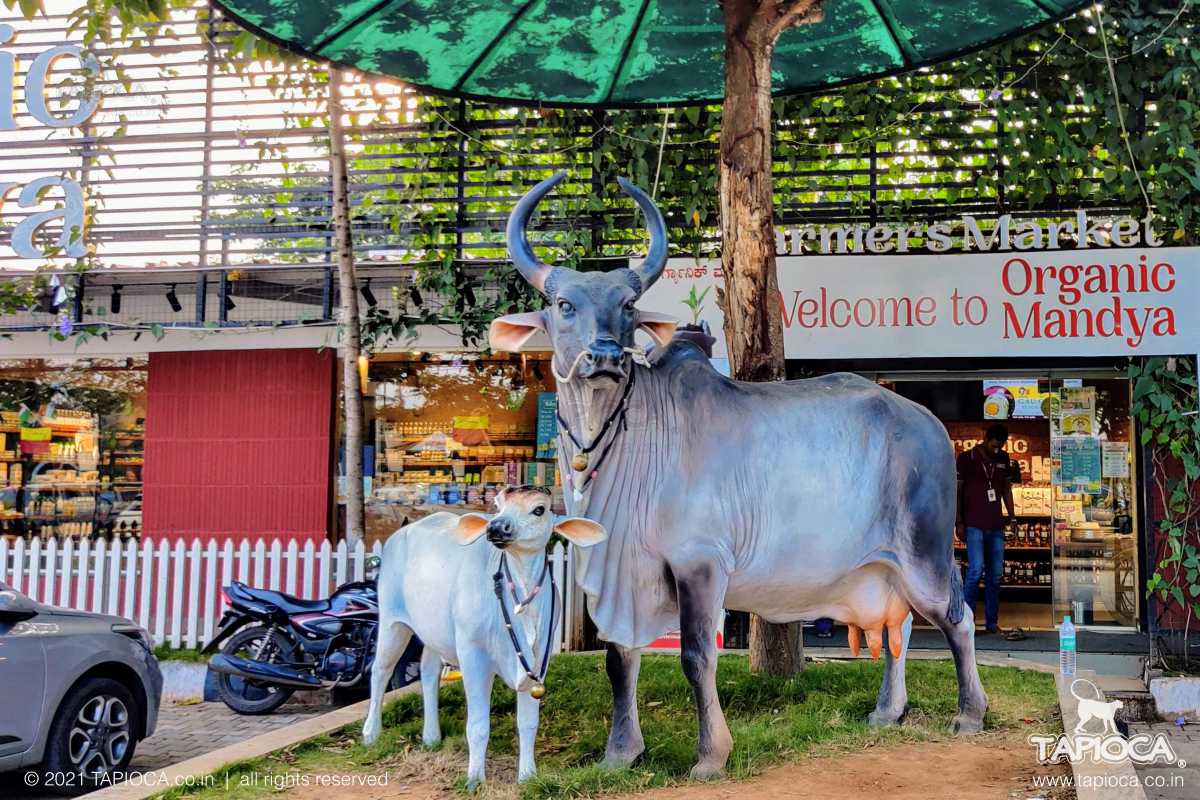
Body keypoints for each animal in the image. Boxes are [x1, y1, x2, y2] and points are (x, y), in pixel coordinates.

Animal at [357, 489, 604, 786]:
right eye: (498, 506)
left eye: (539, 509)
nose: (496, 526)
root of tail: (403, 531)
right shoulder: (472, 654)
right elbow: (478, 725)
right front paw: (474, 779)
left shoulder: (537, 661)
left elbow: (528, 723)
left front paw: (527, 776)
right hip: (393, 622)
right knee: (380, 670)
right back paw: (371, 734)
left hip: (433, 632)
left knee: (428, 672)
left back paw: (431, 737)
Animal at [487, 172, 984, 777]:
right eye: (563, 304)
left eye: (628, 306)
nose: (603, 357)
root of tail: (927, 421)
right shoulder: (617, 572)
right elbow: (619, 658)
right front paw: (619, 753)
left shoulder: (701, 565)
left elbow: (698, 657)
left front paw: (711, 755)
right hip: (883, 568)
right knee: (900, 627)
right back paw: (888, 711)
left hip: (924, 555)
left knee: (956, 619)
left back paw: (970, 714)